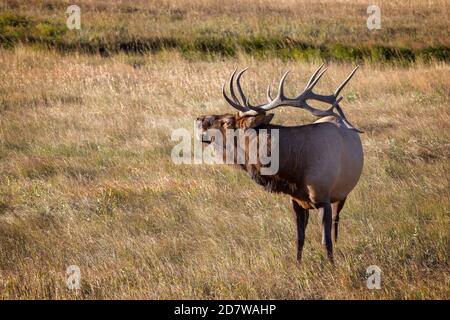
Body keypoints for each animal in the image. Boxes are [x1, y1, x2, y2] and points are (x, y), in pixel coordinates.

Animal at [195, 63, 364, 262]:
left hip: (343, 192)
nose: (199, 119)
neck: (294, 172)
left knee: (337, 221)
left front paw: (332, 265)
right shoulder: (296, 200)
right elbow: (299, 238)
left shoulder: (323, 198)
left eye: (227, 122)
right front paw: (297, 264)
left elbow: (326, 241)